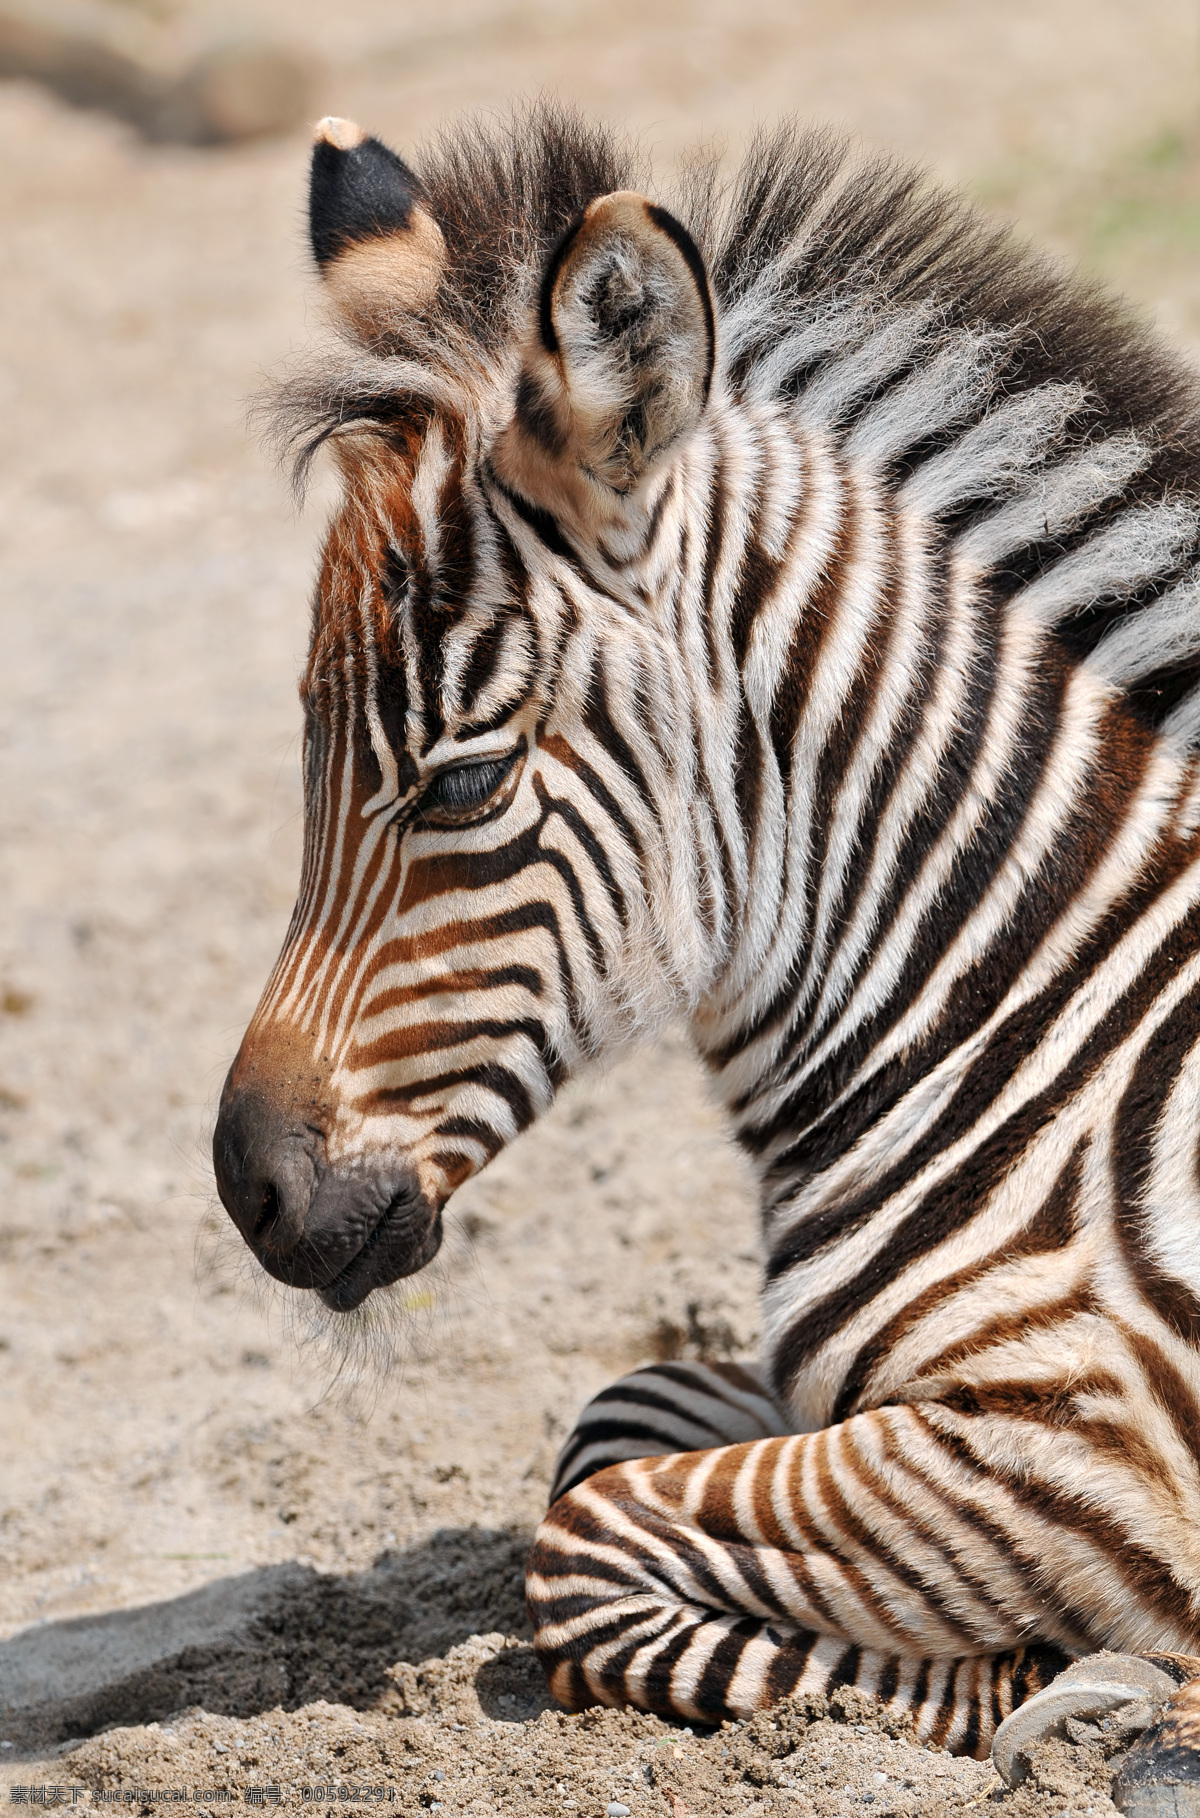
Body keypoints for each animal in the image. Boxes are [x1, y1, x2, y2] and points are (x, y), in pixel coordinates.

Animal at [213, 106, 1200, 1767]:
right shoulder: (826, 1388)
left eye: (463, 783)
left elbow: (588, 1535)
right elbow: (611, 1424)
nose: (247, 1189)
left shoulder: (1096, 1446)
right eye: (300, 748)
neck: (1026, 1016)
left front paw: (1036, 1673)